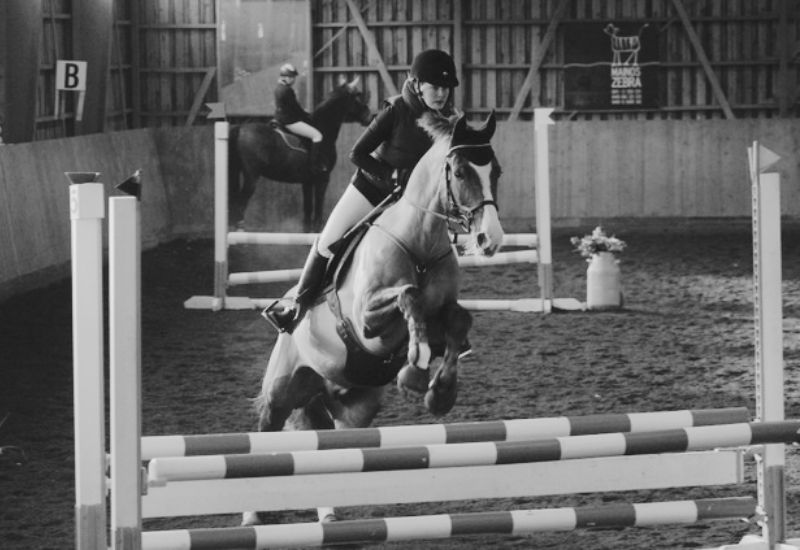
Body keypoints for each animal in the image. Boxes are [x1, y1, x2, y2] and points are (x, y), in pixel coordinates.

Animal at [228, 77, 372, 231]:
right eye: (357, 97)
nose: (369, 116)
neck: (324, 128)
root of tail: (240, 128)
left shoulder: (307, 181)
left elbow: (307, 211)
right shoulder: (323, 179)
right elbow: (318, 209)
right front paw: (317, 229)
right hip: (251, 176)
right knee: (240, 203)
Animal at [242, 110, 503, 525]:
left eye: (495, 171)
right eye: (461, 172)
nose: (490, 240)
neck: (420, 244)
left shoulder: (442, 317)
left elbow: (458, 321)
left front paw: (440, 392)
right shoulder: (368, 321)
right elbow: (409, 298)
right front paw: (415, 371)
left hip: (354, 407)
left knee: (330, 447)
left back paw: (328, 514)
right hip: (282, 388)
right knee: (265, 431)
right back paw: (252, 514)